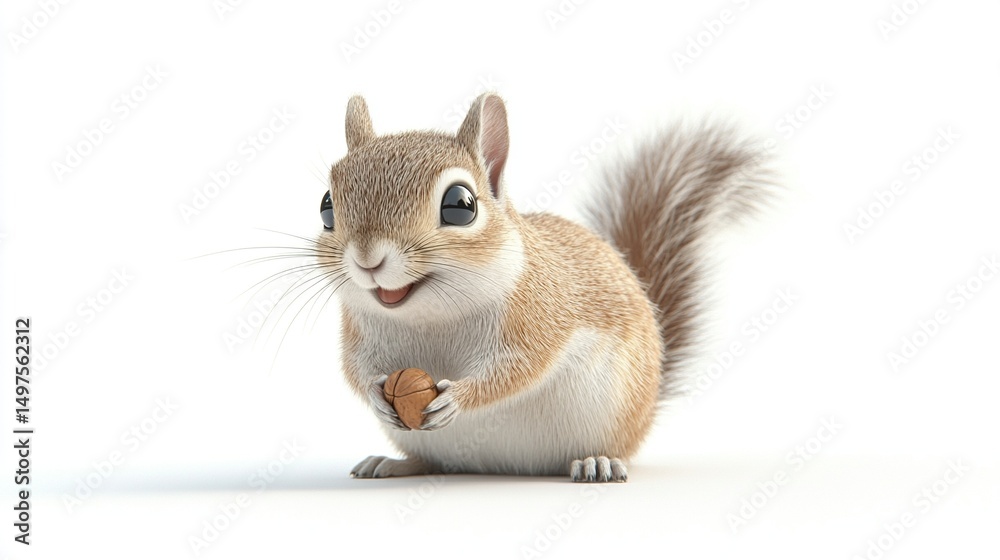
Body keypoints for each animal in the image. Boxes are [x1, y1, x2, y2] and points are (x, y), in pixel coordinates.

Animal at [316, 93, 771, 482]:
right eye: (326, 206)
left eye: (460, 205)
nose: (368, 260)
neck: (430, 314)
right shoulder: (358, 333)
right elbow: (355, 370)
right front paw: (377, 394)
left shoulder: (539, 315)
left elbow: (519, 370)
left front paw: (460, 397)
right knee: (432, 461)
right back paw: (393, 463)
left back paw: (597, 462)